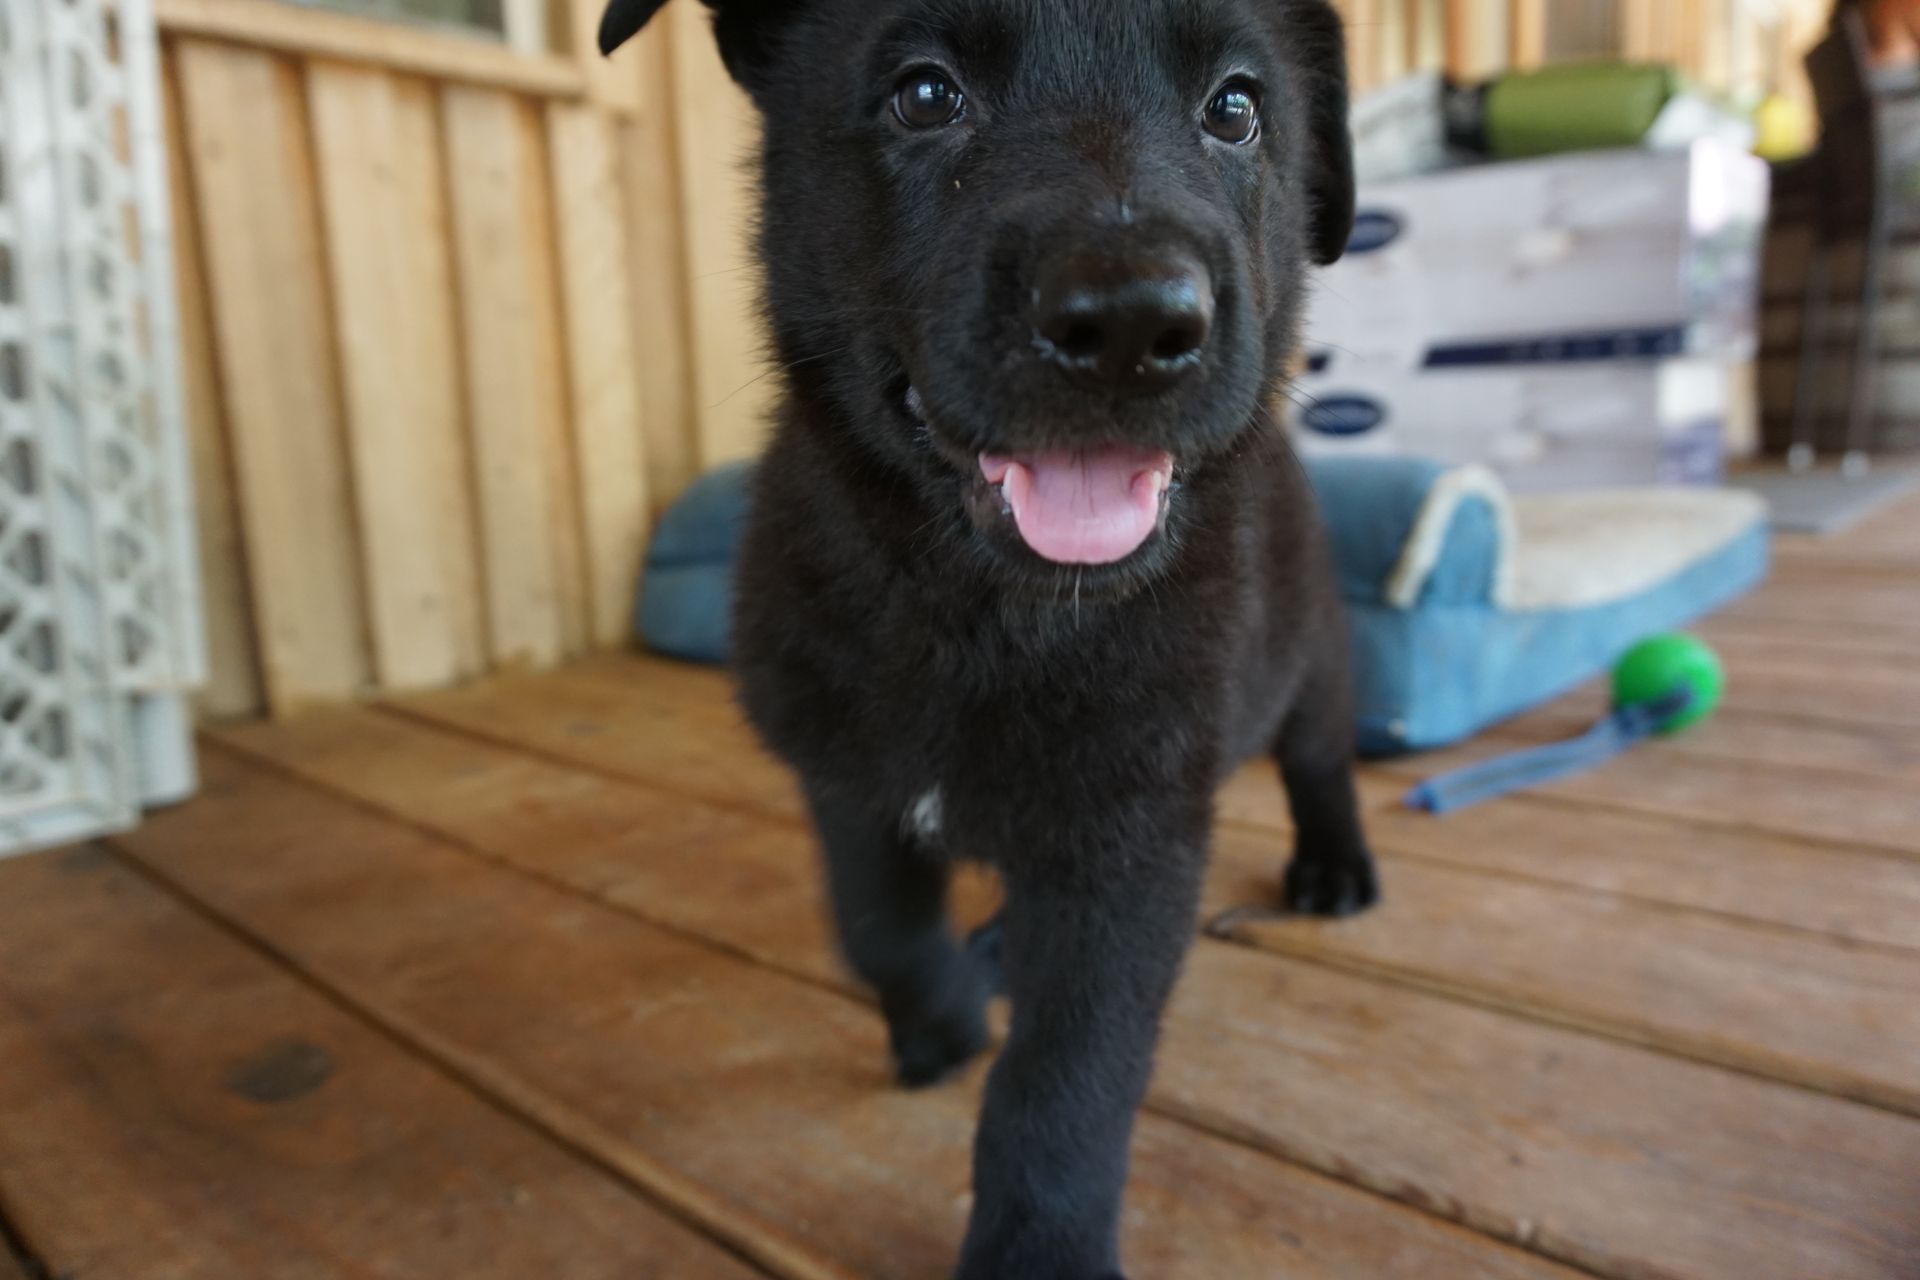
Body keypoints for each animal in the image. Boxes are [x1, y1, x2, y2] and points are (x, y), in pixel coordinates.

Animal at [599, 5, 1382, 1274]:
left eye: (1235, 108)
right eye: (925, 94)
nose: (1131, 326)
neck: (984, 611)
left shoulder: (1134, 836)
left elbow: (1066, 1075)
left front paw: (1040, 1246)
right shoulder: (851, 781)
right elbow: (877, 927)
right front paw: (945, 1021)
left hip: (1309, 652)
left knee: (1321, 760)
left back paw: (1335, 865)